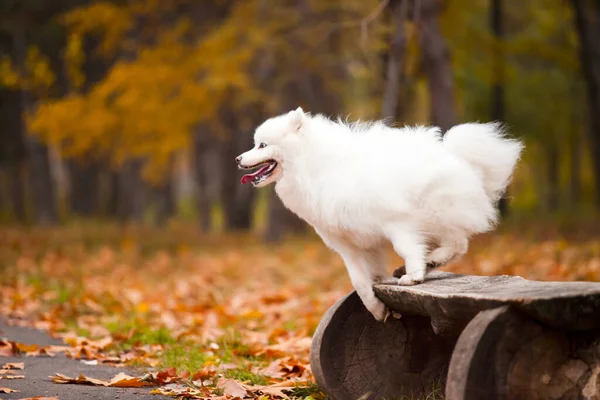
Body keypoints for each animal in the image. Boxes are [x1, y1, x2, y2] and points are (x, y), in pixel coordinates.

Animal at [237, 108, 524, 320]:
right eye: (255, 144)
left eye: (262, 145)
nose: (239, 159)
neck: (316, 168)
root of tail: (455, 153)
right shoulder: (348, 245)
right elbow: (360, 282)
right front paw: (377, 307)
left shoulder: (397, 222)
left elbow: (407, 248)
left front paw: (414, 276)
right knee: (457, 244)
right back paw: (430, 261)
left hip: (436, 210)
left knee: (458, 243)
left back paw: (427, 262)